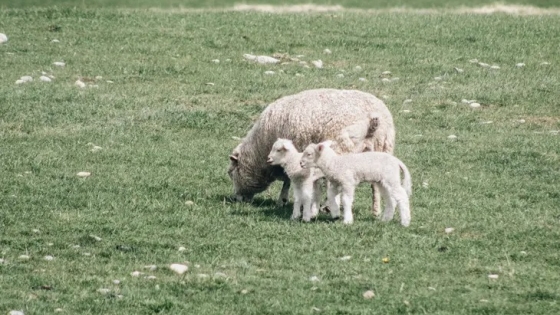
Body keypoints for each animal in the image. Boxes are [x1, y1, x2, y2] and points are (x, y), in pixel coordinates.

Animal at [226, 89, 394, 217]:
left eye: (231, 173)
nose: (235, 199)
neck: (260, 148)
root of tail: (372, 121)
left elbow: (287, 180)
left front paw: (282, 200)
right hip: (381, 151)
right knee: (375, 185)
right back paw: (376, 211)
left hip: (342, 148)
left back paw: (328, 207)